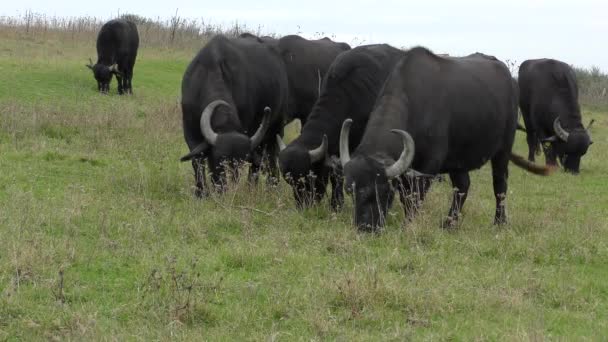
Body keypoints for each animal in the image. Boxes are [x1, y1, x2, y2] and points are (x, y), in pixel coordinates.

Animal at [179, 34, 288, 198]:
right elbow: (197, 161)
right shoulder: (189, 131)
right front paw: (201, 193)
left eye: (240, 163)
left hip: (275, 130)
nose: (228, 189)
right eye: (219, 161)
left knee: (267, 160)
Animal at [340, 46, 552, 231]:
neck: (415, 102)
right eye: (350, 191)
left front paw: (407, 225)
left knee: (500, 183)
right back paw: (449, 223)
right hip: (458, 160)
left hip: (503, 148)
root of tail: (510, 80)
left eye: (382, 190)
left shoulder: (428, 168)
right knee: (463, 186)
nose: (365, 227)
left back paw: (499, 221)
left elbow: (414, 199)